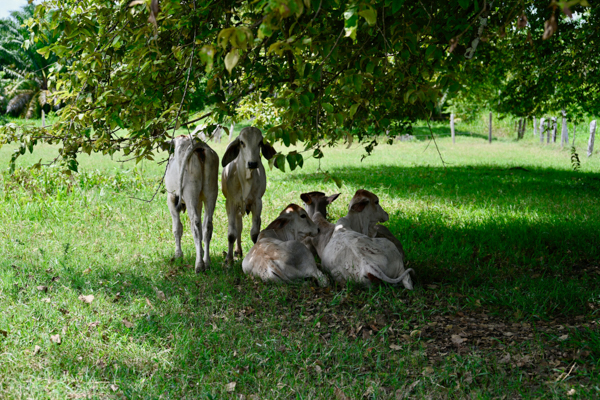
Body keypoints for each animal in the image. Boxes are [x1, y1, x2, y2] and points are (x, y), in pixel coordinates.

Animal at [164, 136, 218, 274]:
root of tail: (200, 146)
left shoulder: (171, 198)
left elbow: (177, 228)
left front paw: (178, 254)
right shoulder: (199, 202)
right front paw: (201, 251)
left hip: (189, 194)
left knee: (195, 224)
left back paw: (199, 265)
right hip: (211, 192)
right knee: (207, 225)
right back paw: (207, 262)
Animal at [220, 125, 276, 262]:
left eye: (260, 142)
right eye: (242, 142)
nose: (252, 163)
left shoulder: (257, 202)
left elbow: (255, 233)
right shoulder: (231, 203)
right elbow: (231, 234)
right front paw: (228, 260)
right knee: (238, 227)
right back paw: (237, 251)